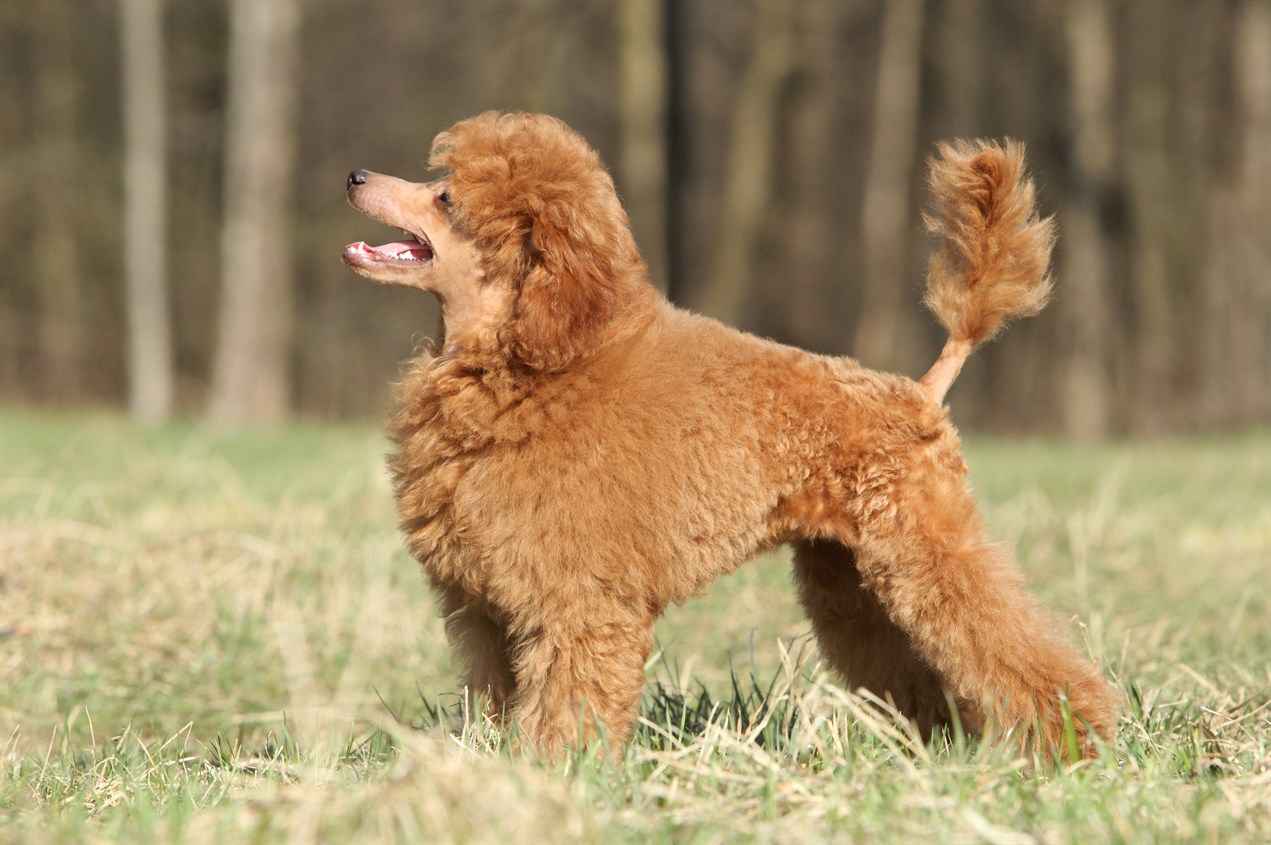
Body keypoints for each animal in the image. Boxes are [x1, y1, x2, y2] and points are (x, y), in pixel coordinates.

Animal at [340, 110, 1123, 757]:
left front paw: (559, 775)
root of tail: (920, 392)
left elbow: (568, 706)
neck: (529, 365)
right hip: (854, 581)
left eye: (446, 196)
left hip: (928, 548)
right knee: (916, 674)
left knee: (1008, 645)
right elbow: (497, 701)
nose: (354, 176)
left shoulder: (578, 603)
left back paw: (1074, 744)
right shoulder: (485, 607)